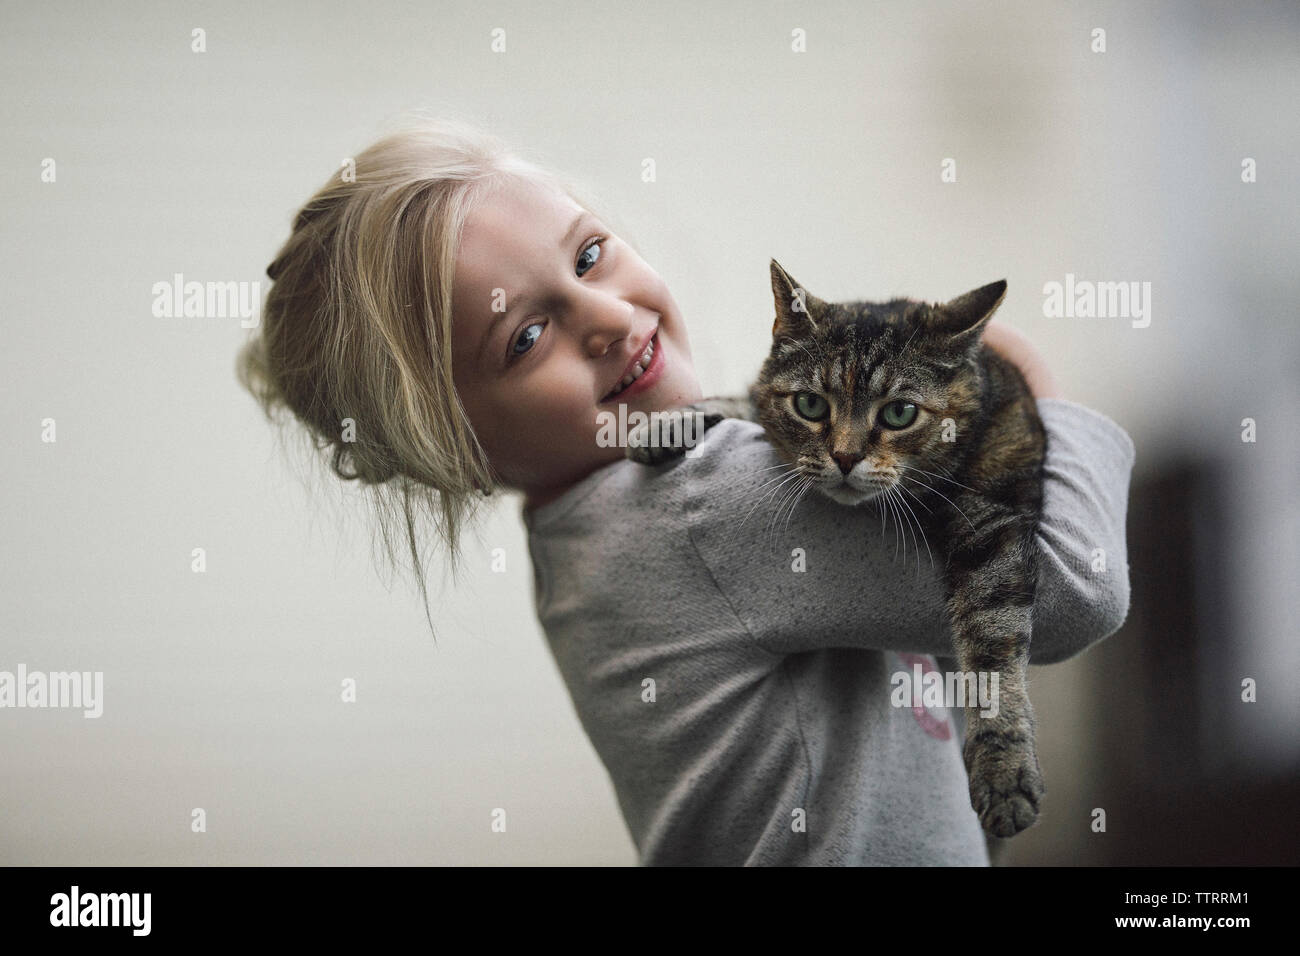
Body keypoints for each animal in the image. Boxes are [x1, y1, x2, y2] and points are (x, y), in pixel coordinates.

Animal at [626, 261, 1045, 837]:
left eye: (899, 413)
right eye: (810, 404)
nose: (845, 457)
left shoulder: (994, 528)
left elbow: (993, 654)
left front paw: (1003, 769)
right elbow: (747, 399)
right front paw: (667, 422)